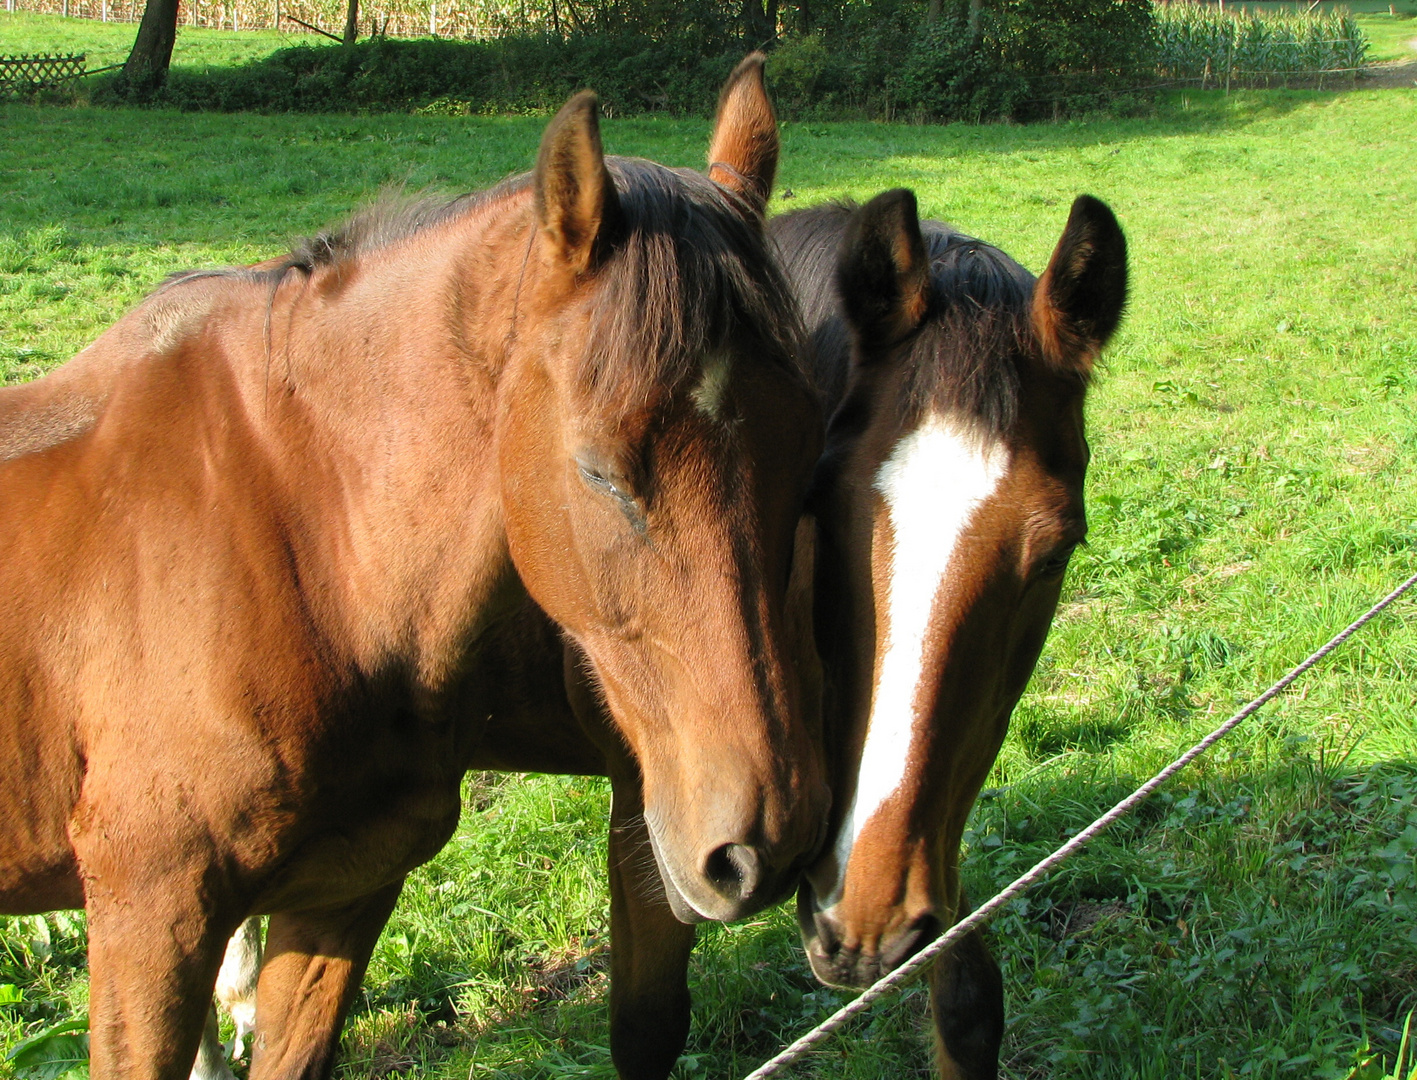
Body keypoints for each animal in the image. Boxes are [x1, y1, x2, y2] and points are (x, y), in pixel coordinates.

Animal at [0, 63, 827, 1077]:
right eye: (599, 470)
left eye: (810, 453)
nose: (766, 844)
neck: (305, 541)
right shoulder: (150, 919)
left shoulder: (344, 894)